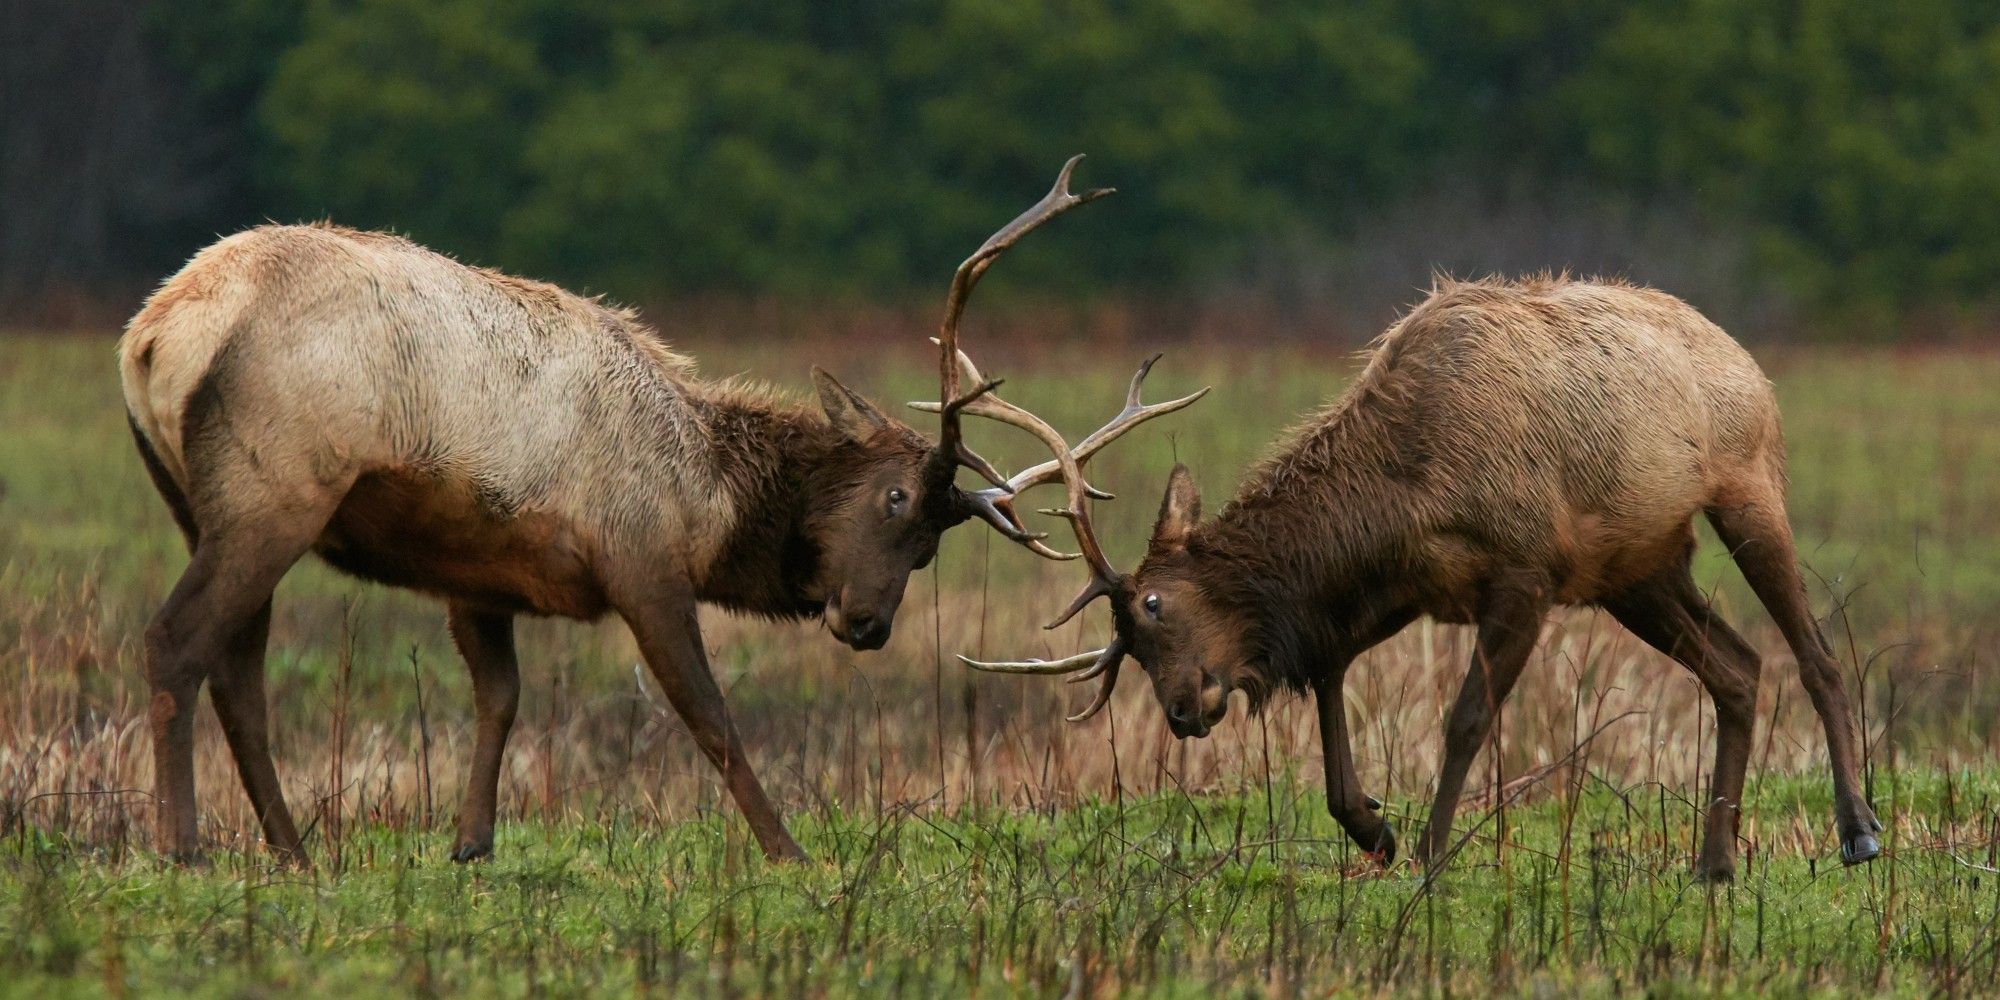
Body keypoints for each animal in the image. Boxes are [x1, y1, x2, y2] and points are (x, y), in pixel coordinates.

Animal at [121, 158, 1200, 868]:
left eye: (934, 547)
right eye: (896, 498)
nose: (866, 622)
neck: (706, 497)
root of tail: (152, 334)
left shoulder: (477, 573)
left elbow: (499, 699)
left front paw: (471, 843)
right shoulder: (641, 563)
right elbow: (708, 714)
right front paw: (787, 849)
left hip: (205, 507)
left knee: (238, 670)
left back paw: (293, 850)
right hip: (273, 492)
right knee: (176, 640)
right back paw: (184, 847)